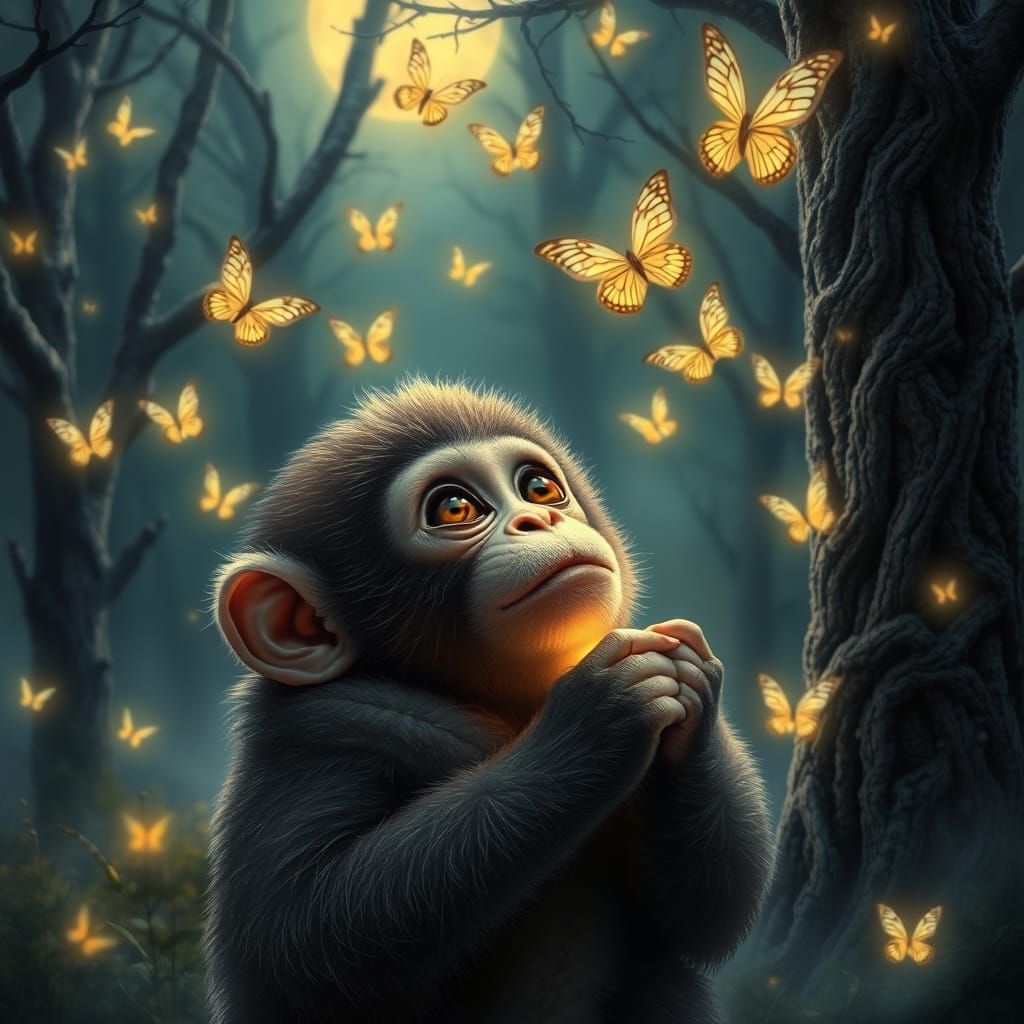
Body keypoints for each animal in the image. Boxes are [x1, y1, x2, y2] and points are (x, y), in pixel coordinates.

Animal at [205, 377, 773, 1024]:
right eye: (455, 508)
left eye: (539, 486)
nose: (538, 517)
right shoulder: (314, 738)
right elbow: (307, 932)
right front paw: (599, 714)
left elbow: (699, 915)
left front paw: (691, 678)